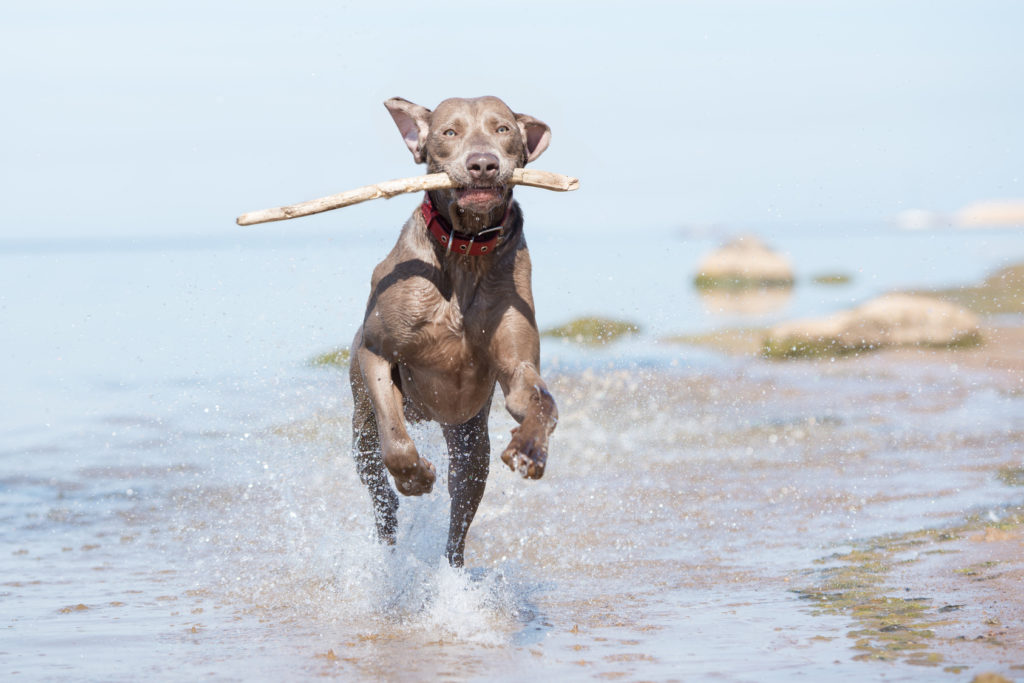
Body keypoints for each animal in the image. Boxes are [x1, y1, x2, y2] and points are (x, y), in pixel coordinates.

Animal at [350, 94, 561, 565]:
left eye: (503, 129)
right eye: (450, 132)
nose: (482, 164)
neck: (465, 251)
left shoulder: (517, 364)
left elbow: (539, 399)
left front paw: (530, 449)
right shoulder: (376, 352)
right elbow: (396, 440)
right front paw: (414, 477)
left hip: (470, 443)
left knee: (460, 512)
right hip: (360, 429)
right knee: (377, 482)